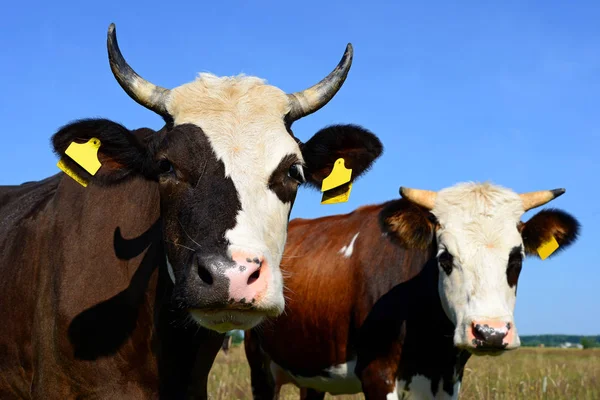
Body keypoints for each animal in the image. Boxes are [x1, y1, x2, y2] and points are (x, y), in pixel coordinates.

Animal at [245, 183, 580, 398]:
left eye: (517, 258)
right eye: (445, 257)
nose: (491, 332)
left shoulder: (448, 380)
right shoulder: (377, 374)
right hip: (260, 368)